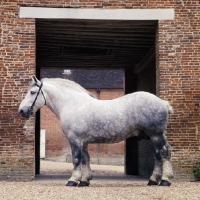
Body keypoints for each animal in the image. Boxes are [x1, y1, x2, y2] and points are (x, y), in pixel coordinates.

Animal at [18, 77, 173, 187]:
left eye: (32, 92)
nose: (22, 111)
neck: (72, 103)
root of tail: (162, 102)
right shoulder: (84, 142)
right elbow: (85, 159)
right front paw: (85, 181)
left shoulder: (75, 140)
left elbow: (76, 159)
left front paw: (72, 180)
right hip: (154, 136)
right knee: (158, 155)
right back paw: (154, 180)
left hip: (156, 135)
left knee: (164, 153)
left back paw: (165, 180)